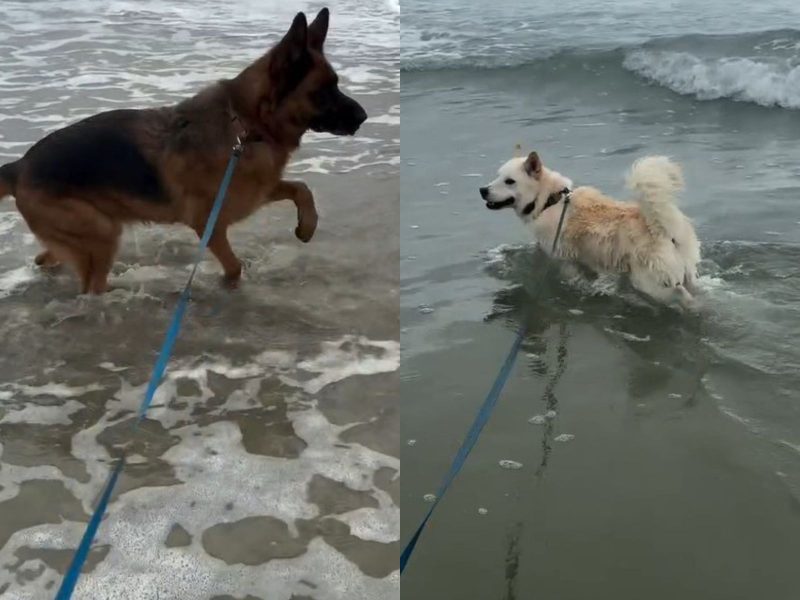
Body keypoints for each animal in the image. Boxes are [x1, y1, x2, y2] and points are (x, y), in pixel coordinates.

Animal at [0, 6, 368, 292]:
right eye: (324, 91)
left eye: (336, 85)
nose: (364, 117)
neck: (247, 126)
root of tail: (19, 166)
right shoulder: (210, 225)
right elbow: (234, 267)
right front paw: (228, 287)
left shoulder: (258, 190)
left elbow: (301, 187)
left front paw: (308, 226)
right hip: (102, 235)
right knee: (90, 285)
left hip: (86, 233)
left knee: (47, 257)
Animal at [482, 150, 700, 310]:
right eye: (498, 176)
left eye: (509, 181)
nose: (482, 190)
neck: (549, 201)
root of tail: (662, 229)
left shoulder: (563, 259)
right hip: (685, 271)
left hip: (648, 283)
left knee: (680, 294)